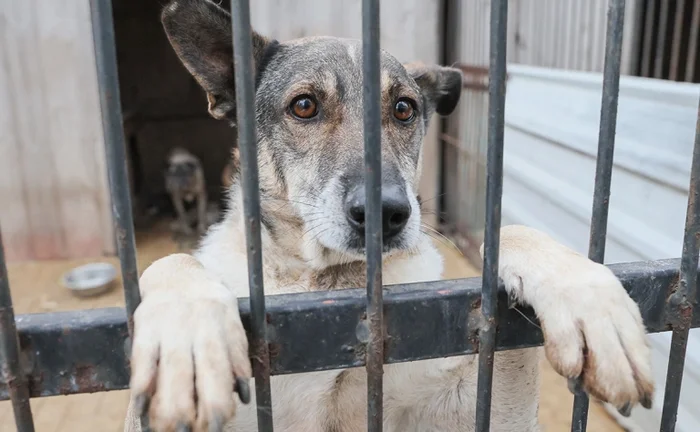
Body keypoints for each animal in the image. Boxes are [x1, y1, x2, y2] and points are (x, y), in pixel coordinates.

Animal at [123, 0, 652, 432]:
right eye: (304, 106)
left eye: (403, 109)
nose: (387, 212)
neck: (334, 285)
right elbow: (170, 263)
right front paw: (188, 333)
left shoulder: (484, 404)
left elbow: (510, 230)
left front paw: (585, 296)